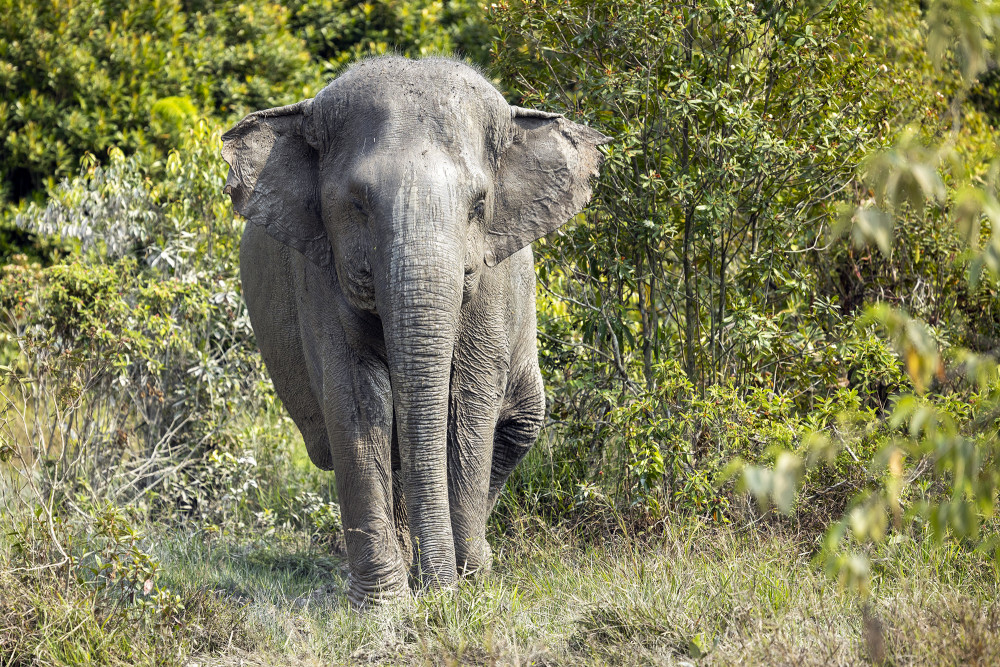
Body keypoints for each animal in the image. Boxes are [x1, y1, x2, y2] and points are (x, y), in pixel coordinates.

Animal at [221, 57, 608, 608]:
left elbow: (467, 403)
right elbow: (358, 401)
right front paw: (385, 607)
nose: (439, 592)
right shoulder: (318, 277)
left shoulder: (491, 279)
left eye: (479, 205)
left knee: (520, 425)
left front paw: (467, 586)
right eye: (357, 204)